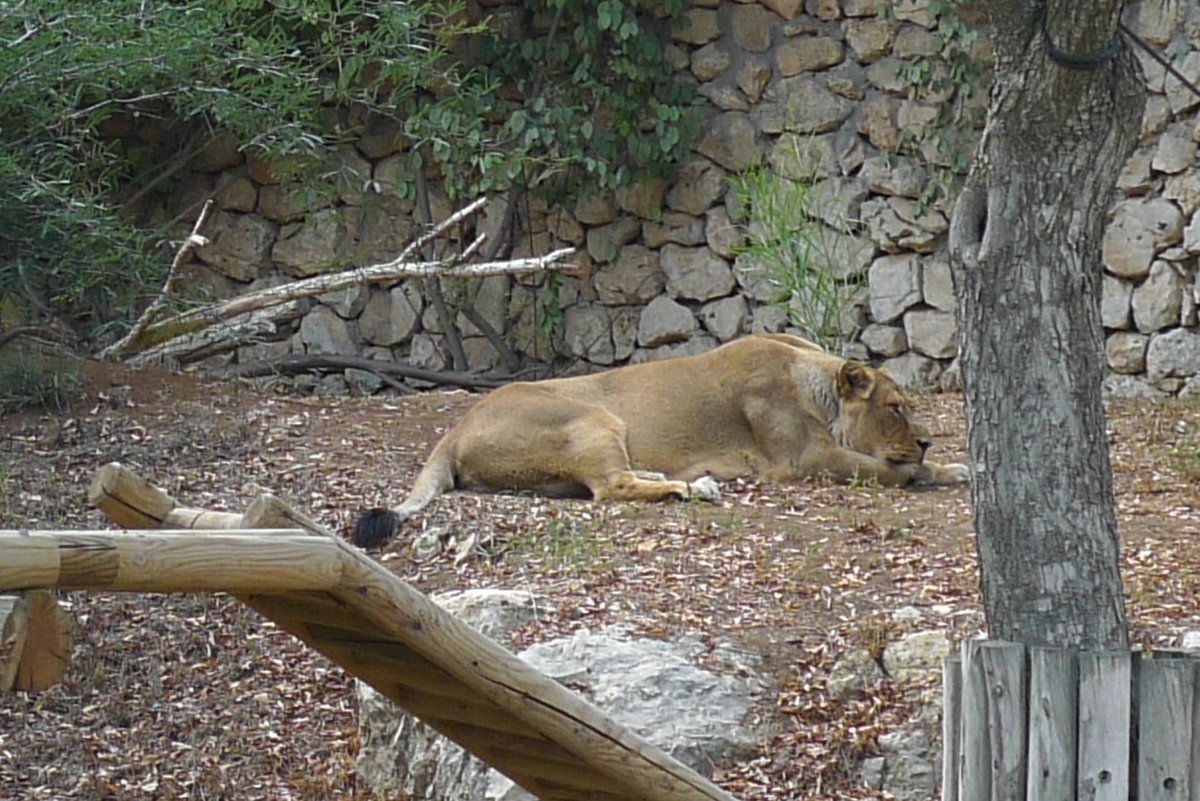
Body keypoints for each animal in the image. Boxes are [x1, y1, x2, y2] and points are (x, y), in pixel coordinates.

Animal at [352, 333, 969, 547]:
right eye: (895, 407)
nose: (927, 441)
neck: (807, 377)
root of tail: (453, 429)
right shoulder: (800, 457)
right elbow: (879, 468)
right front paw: (918, 470)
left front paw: (954, 468)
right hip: (591, 416)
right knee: (610, 488)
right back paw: (692, 490)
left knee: (614, 480)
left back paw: (684, 480)